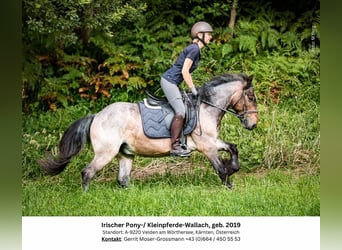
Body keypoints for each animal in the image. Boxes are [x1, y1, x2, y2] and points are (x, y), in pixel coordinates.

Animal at [38, 72, 256, 189]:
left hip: (125, 153)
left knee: (123, 179)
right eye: (251, 97)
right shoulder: (207, 146)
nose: (253, 124)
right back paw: (86, 196)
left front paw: (233, 167)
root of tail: (96, 116)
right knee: (87, 172)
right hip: (106, 152)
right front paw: (229, 185)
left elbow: (233, 147)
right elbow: (220, 169)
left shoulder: (212, 142)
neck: (205, 107)